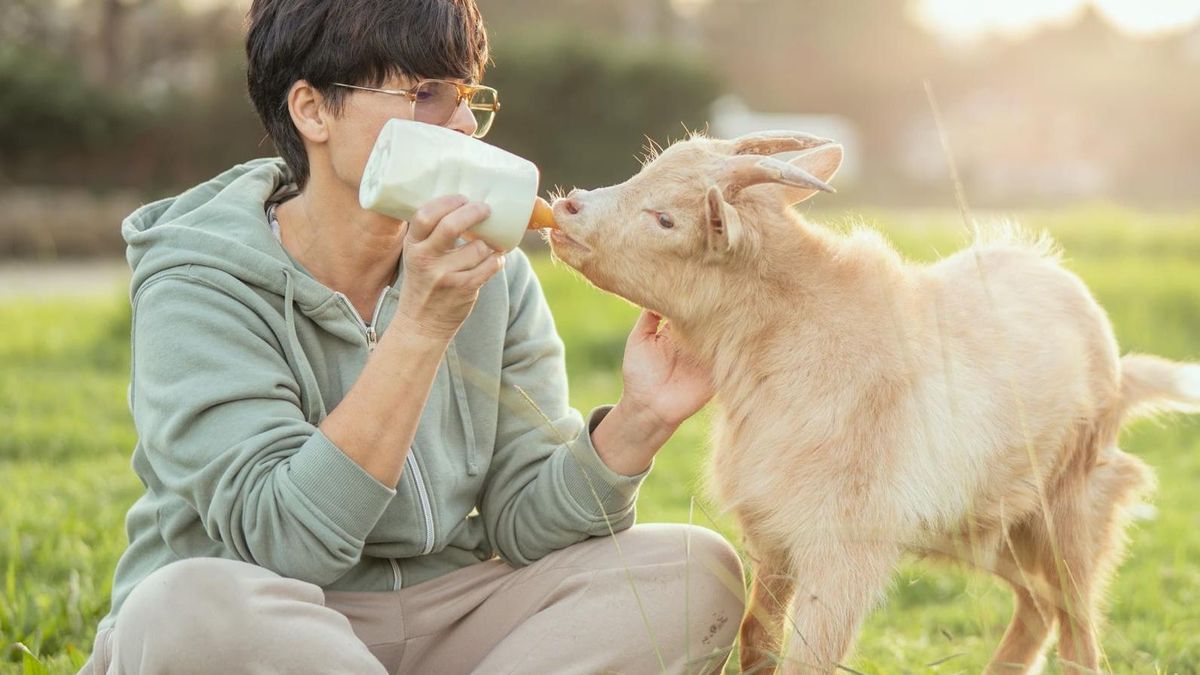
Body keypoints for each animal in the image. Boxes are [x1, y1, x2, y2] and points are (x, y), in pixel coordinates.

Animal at [547, 131, 1200, 672]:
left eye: (665, 219)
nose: (568, 207)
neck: (793, 335)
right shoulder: (774, 535)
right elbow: (758, 641)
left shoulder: (842, 554)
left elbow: (807, 660)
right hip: (986, 525)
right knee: (1039, 605)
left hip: (1071, 503)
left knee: (1076, 622)